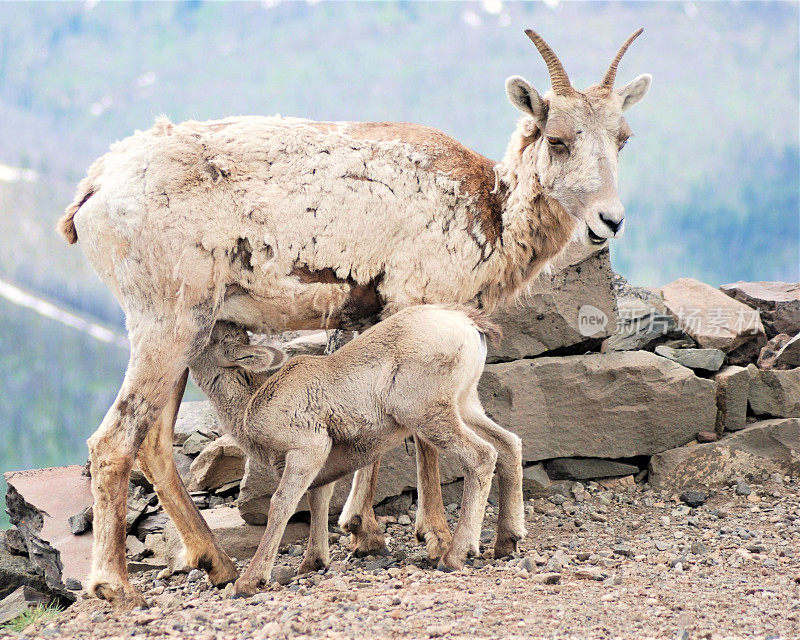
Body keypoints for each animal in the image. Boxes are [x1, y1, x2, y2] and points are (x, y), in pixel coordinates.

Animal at [189, 306, 520, 596]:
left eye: (210, 336)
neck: (251, 403)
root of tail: (468, 325)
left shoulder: (308, 449)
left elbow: (282, 504)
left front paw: (249, 582)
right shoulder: (321, 465)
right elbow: (317, 501)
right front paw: (312, 563)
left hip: (429, 415)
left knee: (482, 457)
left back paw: (455, 556)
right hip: (466, 405)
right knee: (509, 444)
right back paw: (507, 542)